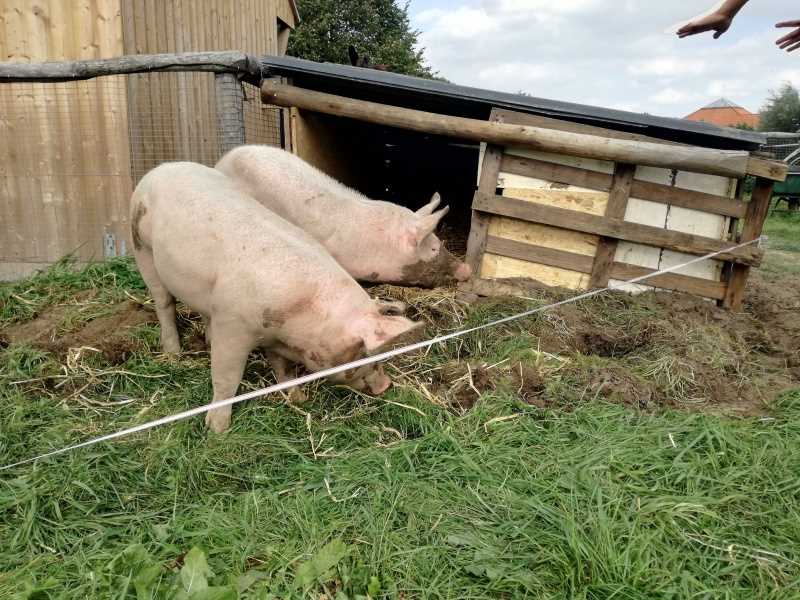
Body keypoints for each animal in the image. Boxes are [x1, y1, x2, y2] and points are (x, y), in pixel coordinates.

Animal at [130, 162, 424, 434]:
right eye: (363, 352)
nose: (386, 386)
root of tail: (161, 168)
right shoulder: (233, 324)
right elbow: (226, 377)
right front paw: (217, 430)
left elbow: (282, 368)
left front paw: (299, 398)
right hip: (141, 247)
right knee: (164, 303)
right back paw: (173, 353)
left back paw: (205, 341)